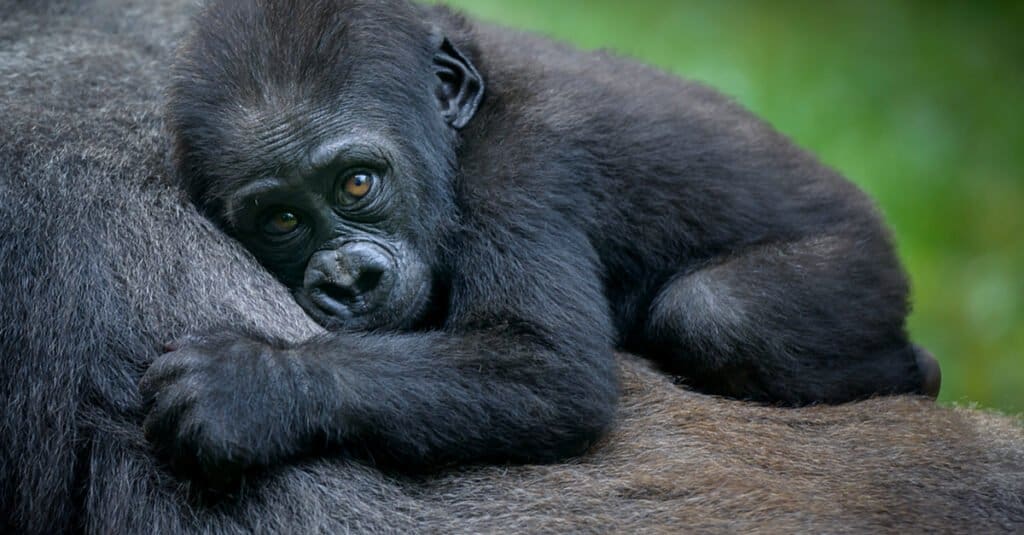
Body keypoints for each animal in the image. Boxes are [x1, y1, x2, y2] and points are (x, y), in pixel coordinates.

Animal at [2, 1, 1024, 532]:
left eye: (359, 182)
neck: (457, 118)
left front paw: (256, 386)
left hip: (858, 263)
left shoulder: (522, 172)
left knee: (718, 313)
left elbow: (548, 374)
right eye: (282, 219)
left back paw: (915, 369)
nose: (347, 280)